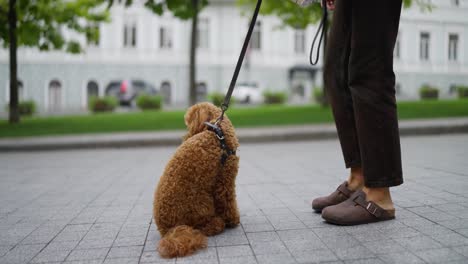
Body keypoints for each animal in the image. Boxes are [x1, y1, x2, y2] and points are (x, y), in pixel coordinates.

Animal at [154, 102, 241, 258]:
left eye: (188, 123)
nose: (185, 137)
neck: (218, 133)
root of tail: (168, 230)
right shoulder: (224, 181)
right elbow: (228, 203)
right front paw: (233, 220)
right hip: (203, 203)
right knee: (202, 227)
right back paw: (217, 223)